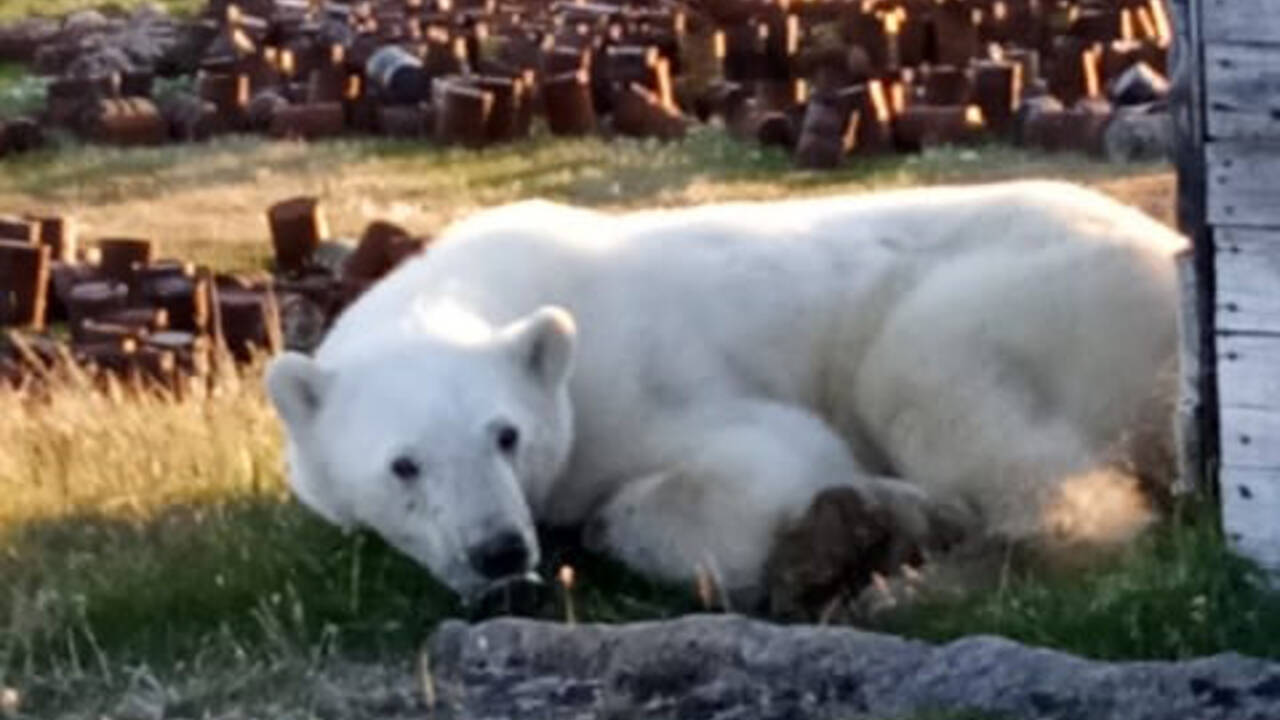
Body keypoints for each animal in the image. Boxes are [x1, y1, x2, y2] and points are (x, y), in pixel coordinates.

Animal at [267, 179, 1187, 604]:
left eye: (506, 435)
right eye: (404, 465)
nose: (498, 550)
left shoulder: (635, 382)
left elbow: (766, 462)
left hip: (1035, 293)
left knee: (935, 383)